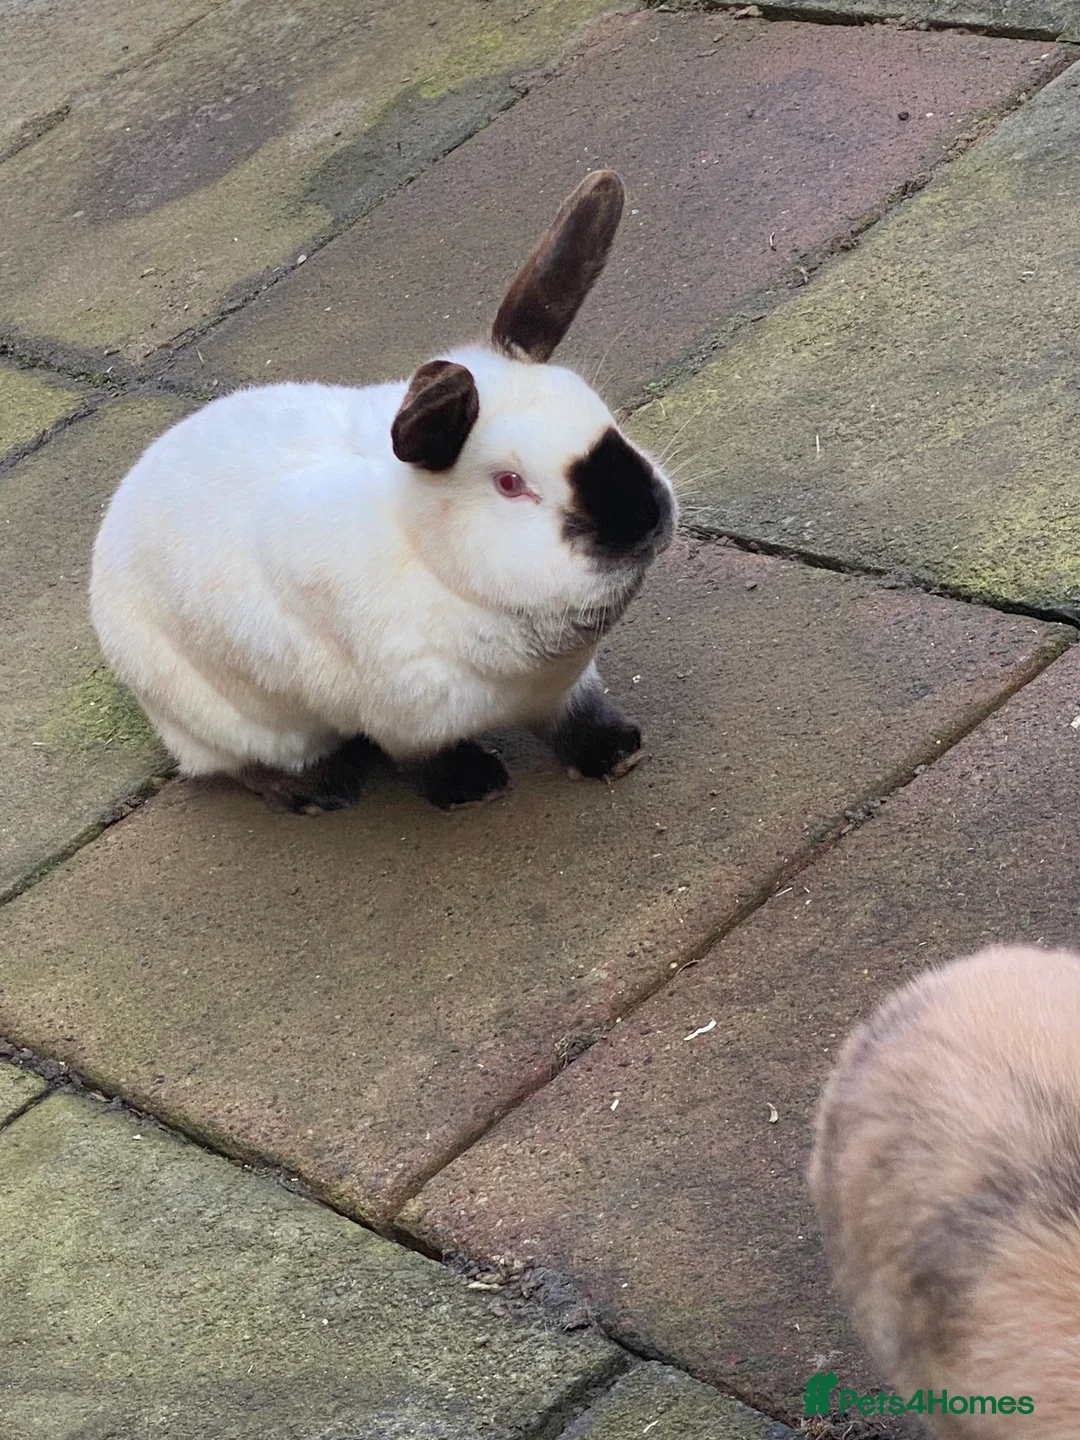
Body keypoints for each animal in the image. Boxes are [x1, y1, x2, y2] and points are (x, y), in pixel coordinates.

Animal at [89, 171, 676, 812]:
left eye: (606, 421)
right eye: (511, 484)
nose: (648, 518)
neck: (438, 563)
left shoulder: (564, 688)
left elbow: (575, 721)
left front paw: (617, 751)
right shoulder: (404, 718)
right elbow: (425, 760)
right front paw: (474, 788)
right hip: (229, 724)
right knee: (244, 765)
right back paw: (320, 791)